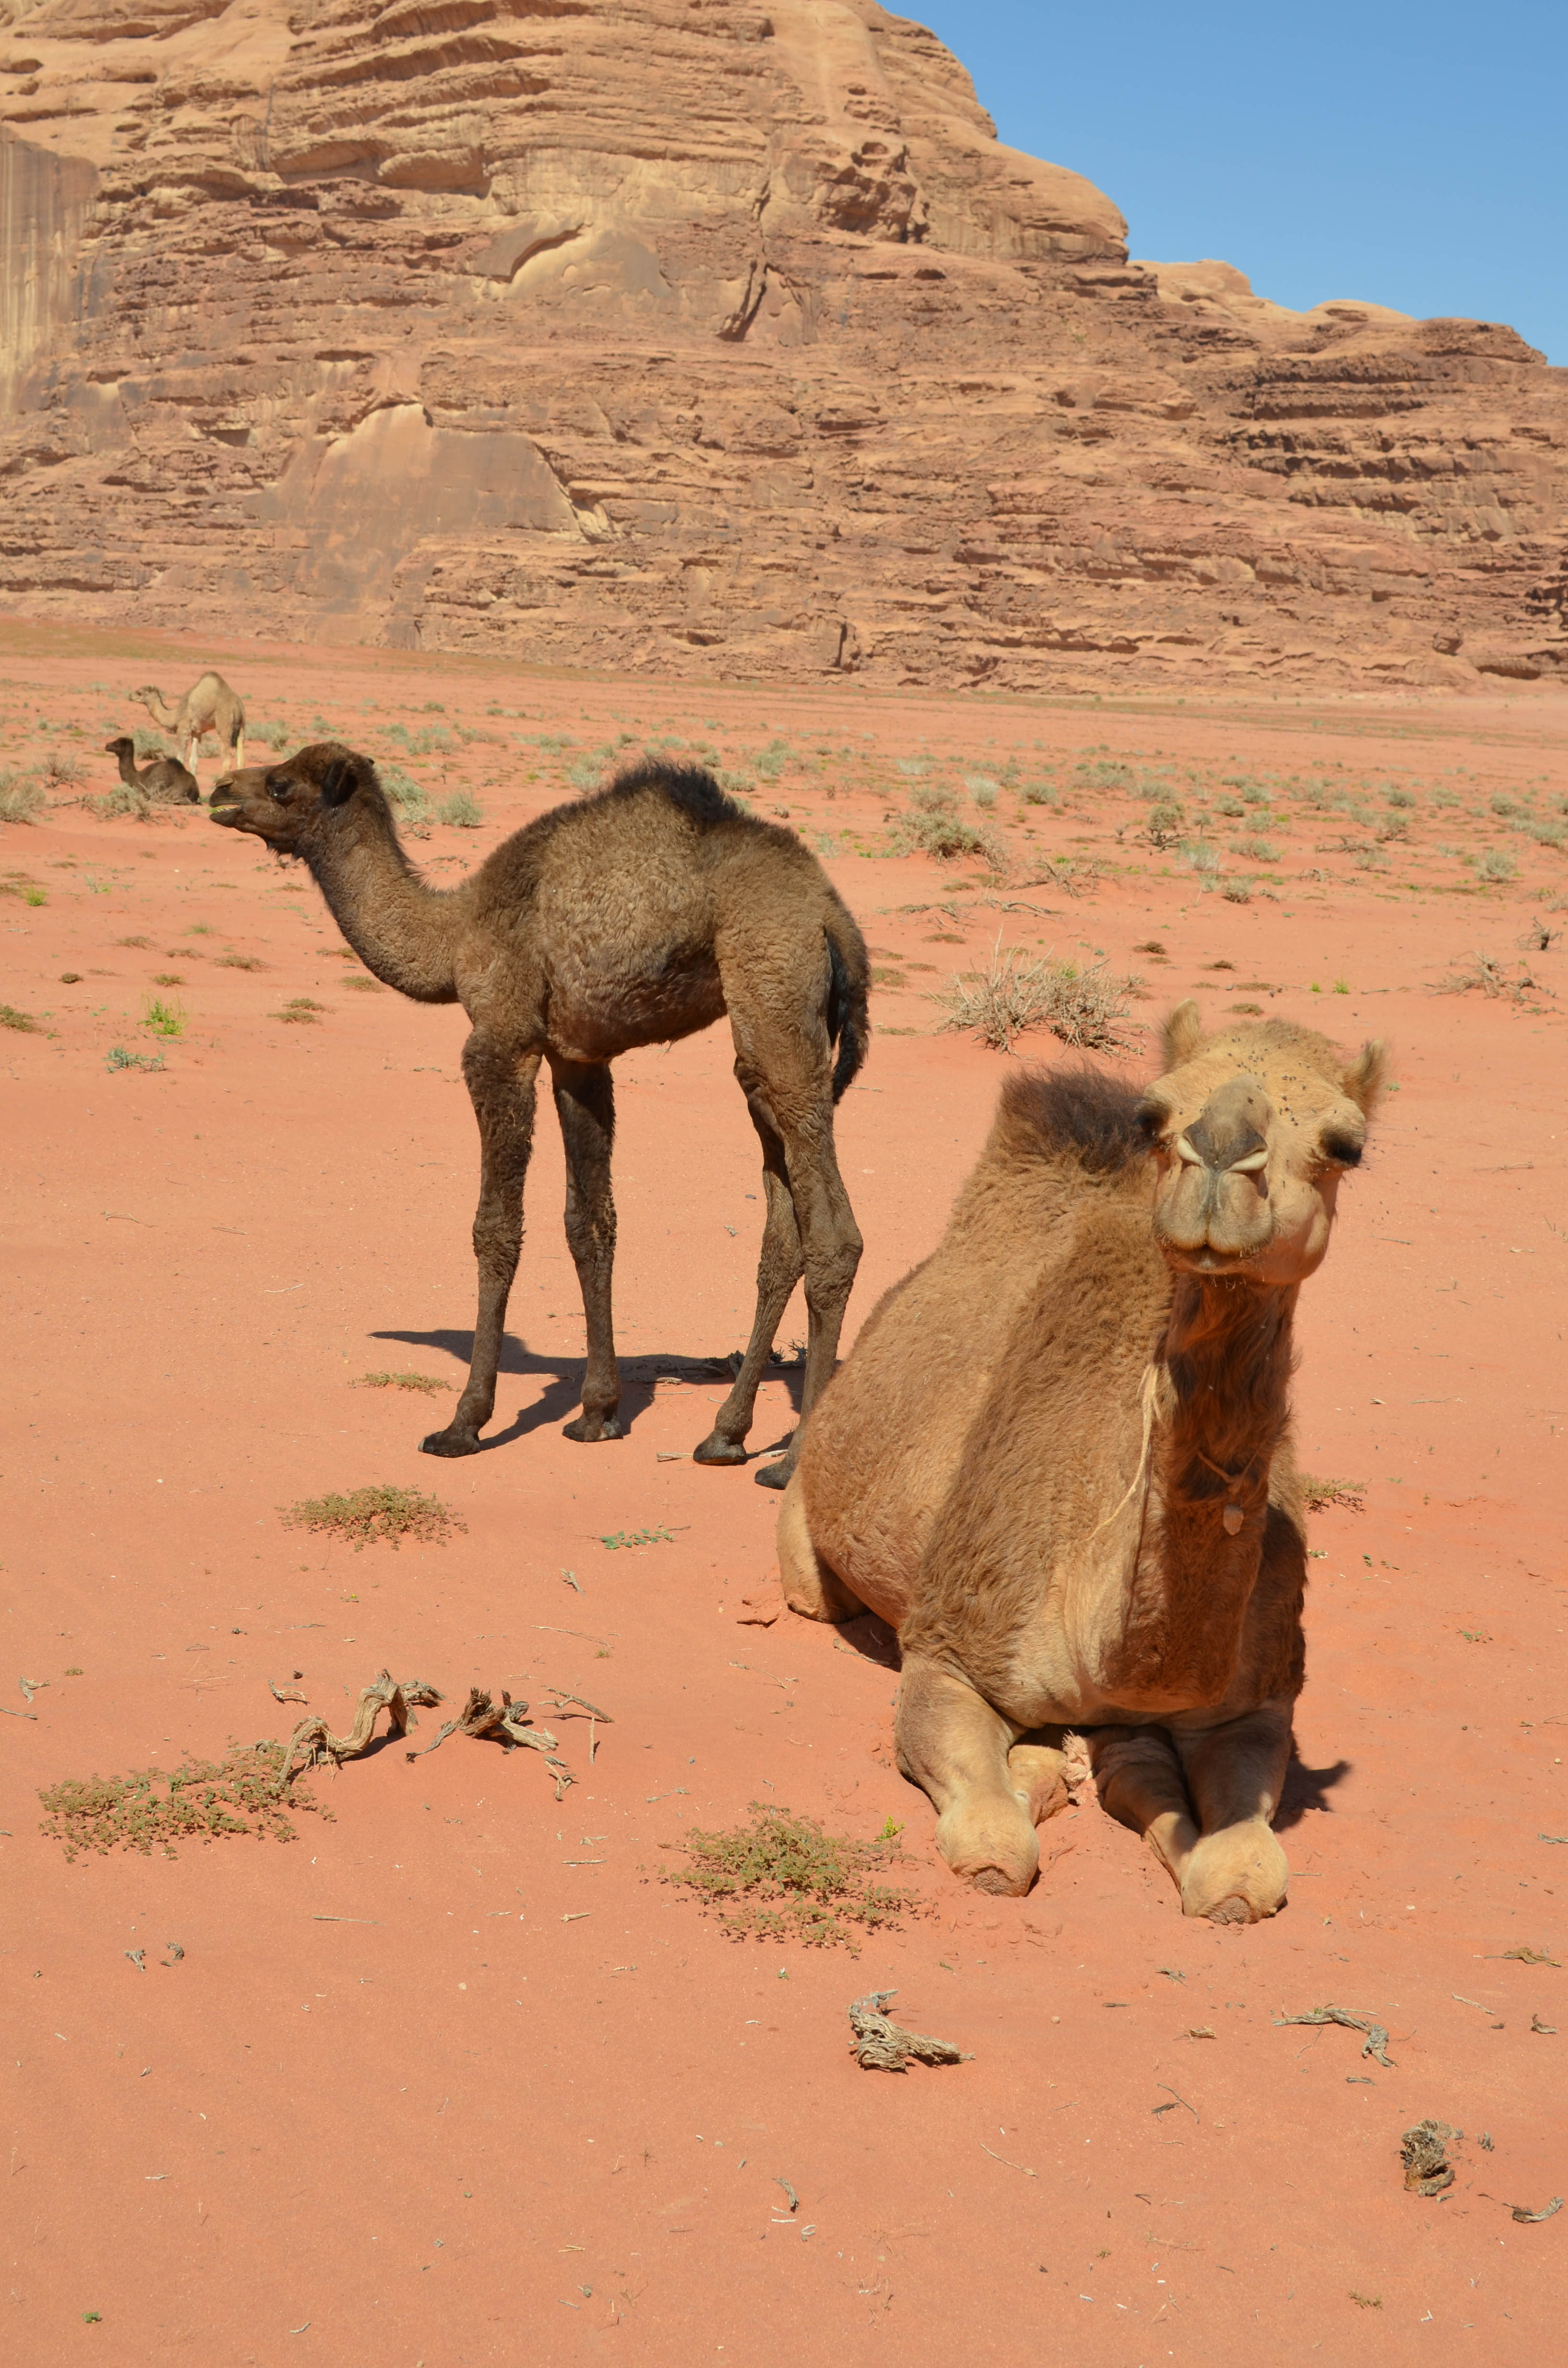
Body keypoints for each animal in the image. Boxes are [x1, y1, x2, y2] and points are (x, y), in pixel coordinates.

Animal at [136, 672, 246, 772]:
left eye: (139, 693)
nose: (132, 696)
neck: (176, 714)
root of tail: (236, 706)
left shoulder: (183, 729)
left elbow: (180, 760)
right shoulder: (197, 732)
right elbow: (193, 761)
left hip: (224, 724)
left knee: (226, 762)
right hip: (242, 726)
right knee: (241, 760)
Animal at [208, 739, 871, 1478]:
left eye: (283, 784)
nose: (219, 791)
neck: (456, 934)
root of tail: (832, 915)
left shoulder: (503, 1040)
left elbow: (495, 1228)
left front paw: (464, 1423)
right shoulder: (577, 1058)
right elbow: (591, 1223)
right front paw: (598, 1413)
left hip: (775, 992)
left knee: (834, 1235)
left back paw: (790, 1462)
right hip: (762, 1039)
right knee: (781, 1227)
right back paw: (723, 1435)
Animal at [782, 1004, 1393, 1923]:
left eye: (1344, 1143)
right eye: (1153, 1115)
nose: (1218, 1153)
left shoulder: (1255, 1701)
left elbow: (1240, 1875)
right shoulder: (946, 1651)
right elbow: (994, 1849)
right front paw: (1040, 1775)